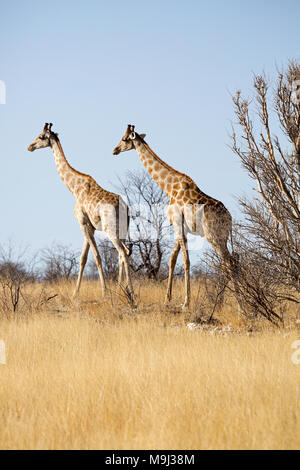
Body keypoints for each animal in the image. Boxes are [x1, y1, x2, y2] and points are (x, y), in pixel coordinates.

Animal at [28, 122, 134, 298]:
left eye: (41, 136)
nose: (30, 146)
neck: (74, 188)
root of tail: (124, 208)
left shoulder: (82, 222)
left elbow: (96, 256)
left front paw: (104, 292)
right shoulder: (89, 226)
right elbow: (83, 258)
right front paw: (74, 294)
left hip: (110, 229)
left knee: (123, 252)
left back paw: (129, 291)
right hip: (123, 230)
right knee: (124, 252)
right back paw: (121, 289)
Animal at [112, 125, 239, 308]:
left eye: (124, 139)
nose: (114, 150)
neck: (168, 187)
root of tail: (229, 219)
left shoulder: (178, 223)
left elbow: (186, 262)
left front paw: (186, 302)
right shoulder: (181, 227)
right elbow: (172, 260)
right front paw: (167, 299)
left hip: (213, 236)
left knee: (229, 263)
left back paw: (239, 304)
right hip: (223, 237)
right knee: (230, 262)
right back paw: (224, 301)